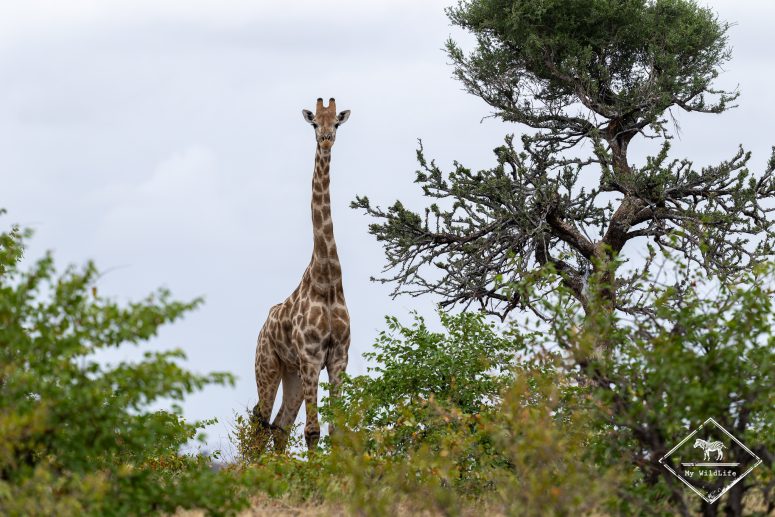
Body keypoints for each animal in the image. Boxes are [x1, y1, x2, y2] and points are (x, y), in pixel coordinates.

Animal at [252, 97, 351, 452]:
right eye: (314, 124)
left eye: (336, 123)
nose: (325, 139)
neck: (328, 280)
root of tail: (263, 327)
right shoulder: (311, 356)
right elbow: (312, 431)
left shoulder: (338, 357)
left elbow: (337, 430)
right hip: (268, 366)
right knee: (260, 423)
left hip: (291, 373)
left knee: (279, 426)